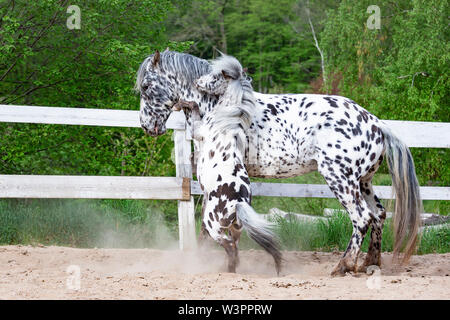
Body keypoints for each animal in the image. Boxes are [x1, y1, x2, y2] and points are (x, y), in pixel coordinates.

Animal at [136, 50, 422, 278]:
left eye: (147, 87)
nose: (148, 126)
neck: (220, 105)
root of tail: (375, 123)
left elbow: (208, 229)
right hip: (364, 182)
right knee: (379, 215)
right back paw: (369, 264)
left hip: (340, 180)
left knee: (361, 218)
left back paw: (343, 266)